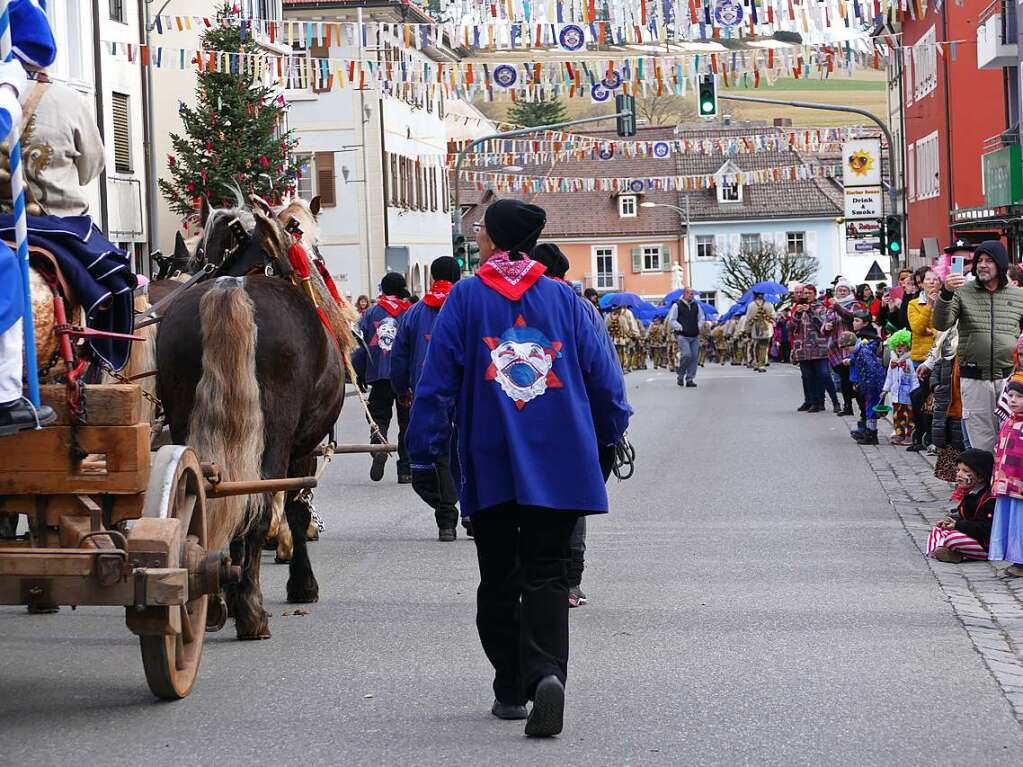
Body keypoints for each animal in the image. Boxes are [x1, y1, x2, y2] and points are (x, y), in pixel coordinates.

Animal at [155, 207, 345, 638]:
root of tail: (231, 291)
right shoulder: (302, 449)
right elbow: (295, 509)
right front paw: (301, 584)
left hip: (185, 423)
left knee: (206, 501)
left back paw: (212, 595)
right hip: (275, 436)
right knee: (255, 508)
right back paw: (250, 610)